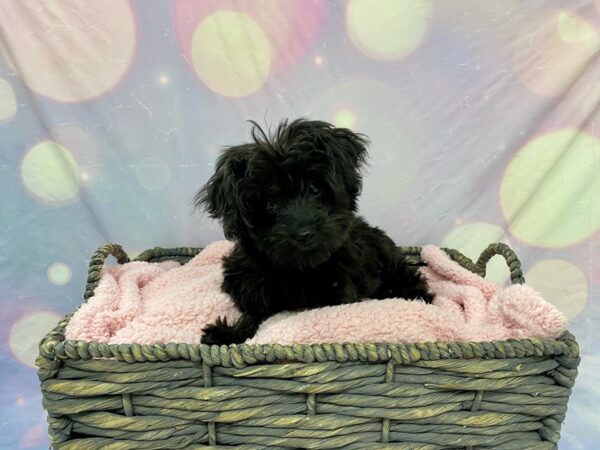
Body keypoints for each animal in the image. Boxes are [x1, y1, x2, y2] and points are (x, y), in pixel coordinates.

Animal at [197, 119, 432, 344]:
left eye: (314, 188)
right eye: (269, 204)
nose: (305, 233)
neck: (300, 268)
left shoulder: (340, 287)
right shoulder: (249, 281)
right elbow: (251, 313)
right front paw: (228, 334)